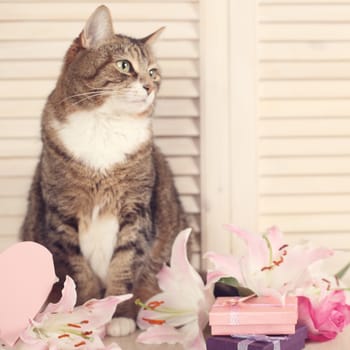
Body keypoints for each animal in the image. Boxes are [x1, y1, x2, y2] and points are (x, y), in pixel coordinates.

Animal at [20, 3, 187, 336]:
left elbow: (124, 266)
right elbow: (78, 273)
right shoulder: (61, 213)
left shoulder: (135, 211)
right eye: (124, 65)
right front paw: (86, 313)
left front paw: (119, 315)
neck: (104, 125)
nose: (149, 87)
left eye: (153, 72)